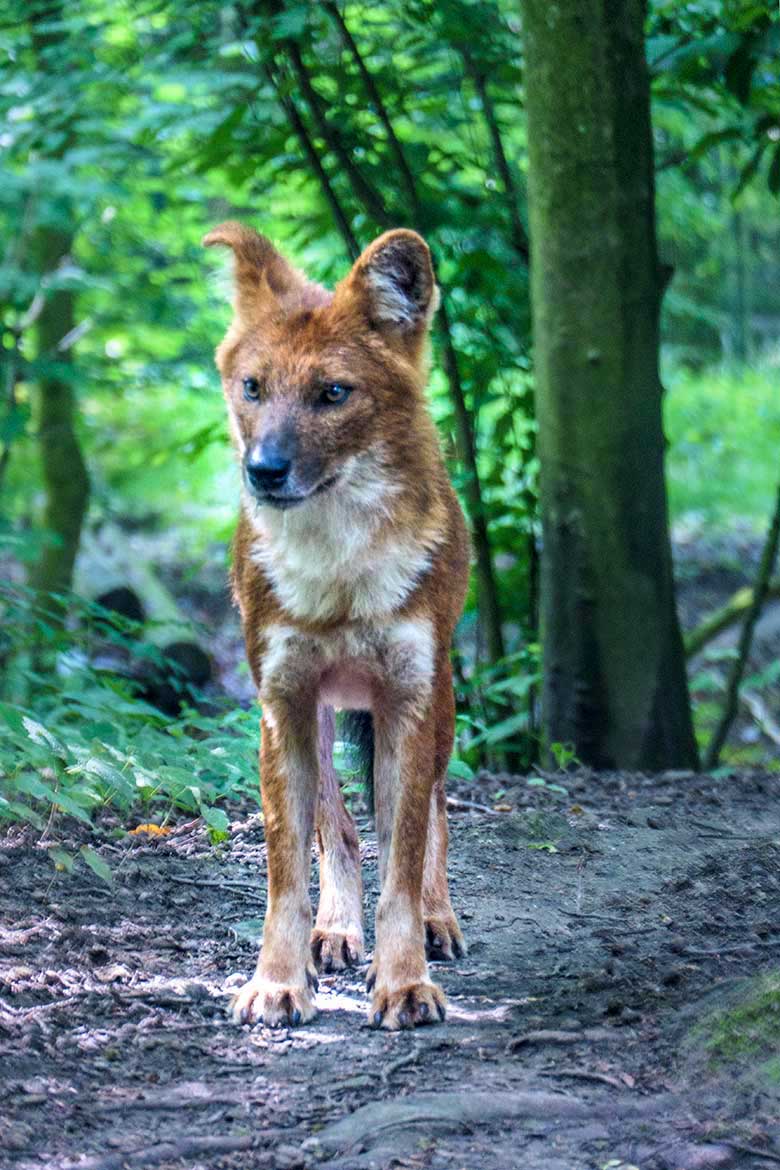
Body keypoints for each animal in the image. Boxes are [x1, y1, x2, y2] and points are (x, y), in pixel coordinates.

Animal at [204, 223, 467, 1029]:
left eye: (332, 393)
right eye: (253, 387)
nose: (264, 470)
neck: (338, 573)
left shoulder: (409, 698)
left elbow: (404, 863)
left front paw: (405, 981)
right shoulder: (281, 700)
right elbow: (290, 868)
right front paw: (277, 982)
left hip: (440, 699)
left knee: (433, 814)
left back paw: (439, 921)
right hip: (319, 712)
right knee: (340, 827)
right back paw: (337, 932)